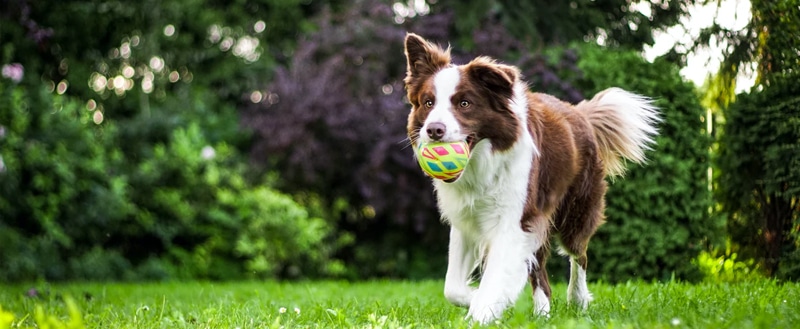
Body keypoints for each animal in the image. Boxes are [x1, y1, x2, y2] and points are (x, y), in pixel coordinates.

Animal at [404, 34, 660, 322]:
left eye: (464, 103)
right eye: (428, 103)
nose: (434, 130)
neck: (482, 163)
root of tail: (580, 113)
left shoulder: (514, 219)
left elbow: (495, 276)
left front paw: (482, 311)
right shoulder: (467, 219)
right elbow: (452, 288)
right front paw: (479, 299)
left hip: (575, 211)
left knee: (579, 254)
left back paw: (577, 299)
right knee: (541, 273)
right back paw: (542, 313)